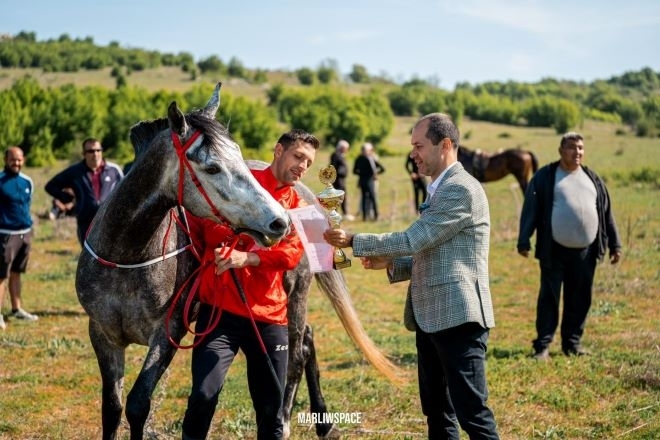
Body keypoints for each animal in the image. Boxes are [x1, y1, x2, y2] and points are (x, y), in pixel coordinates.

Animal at [75, 83, 400, 440]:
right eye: (212, 168)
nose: (279, 222)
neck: (127, 256)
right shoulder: (102, 336)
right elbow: (112, 409)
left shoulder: (166, 334)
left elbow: (137, 405)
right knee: (308, 339)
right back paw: (323, 421)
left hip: (296, 294)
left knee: (297, 353)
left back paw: (286, 420)